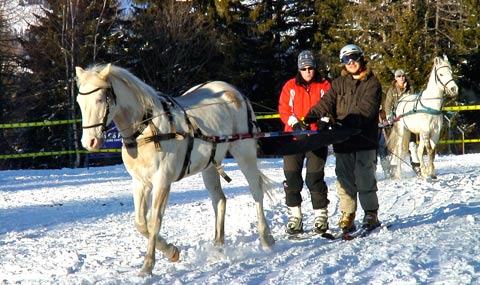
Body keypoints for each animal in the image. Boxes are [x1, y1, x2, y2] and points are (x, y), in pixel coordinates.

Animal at [75, 63, 278, 274]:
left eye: (100, 99)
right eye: (80, 101)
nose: (89, 142)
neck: (146, 129)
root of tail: (234, 92)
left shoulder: (162, 182)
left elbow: (154, 221)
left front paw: (148, 266)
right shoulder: (140, 183)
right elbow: (141, 223)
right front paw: (171, 251)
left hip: (244, 153)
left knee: (256, 192)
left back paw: (266, 238)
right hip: (210, 165)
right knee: (219, 200)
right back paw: (218, 246)